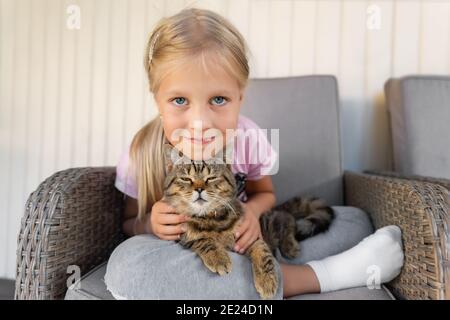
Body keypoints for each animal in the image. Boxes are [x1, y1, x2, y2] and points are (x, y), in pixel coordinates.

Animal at [162, 144, 334, 298]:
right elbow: (203, 240)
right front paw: (219, 257)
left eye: (211, 178)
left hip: (269, 223)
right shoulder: (183, 236)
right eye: (186, 179)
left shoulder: (252, 236)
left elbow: (263, 255)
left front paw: (267, 281)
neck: (210, 218)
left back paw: (290, 245)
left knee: (287, 220)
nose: (199, 189)